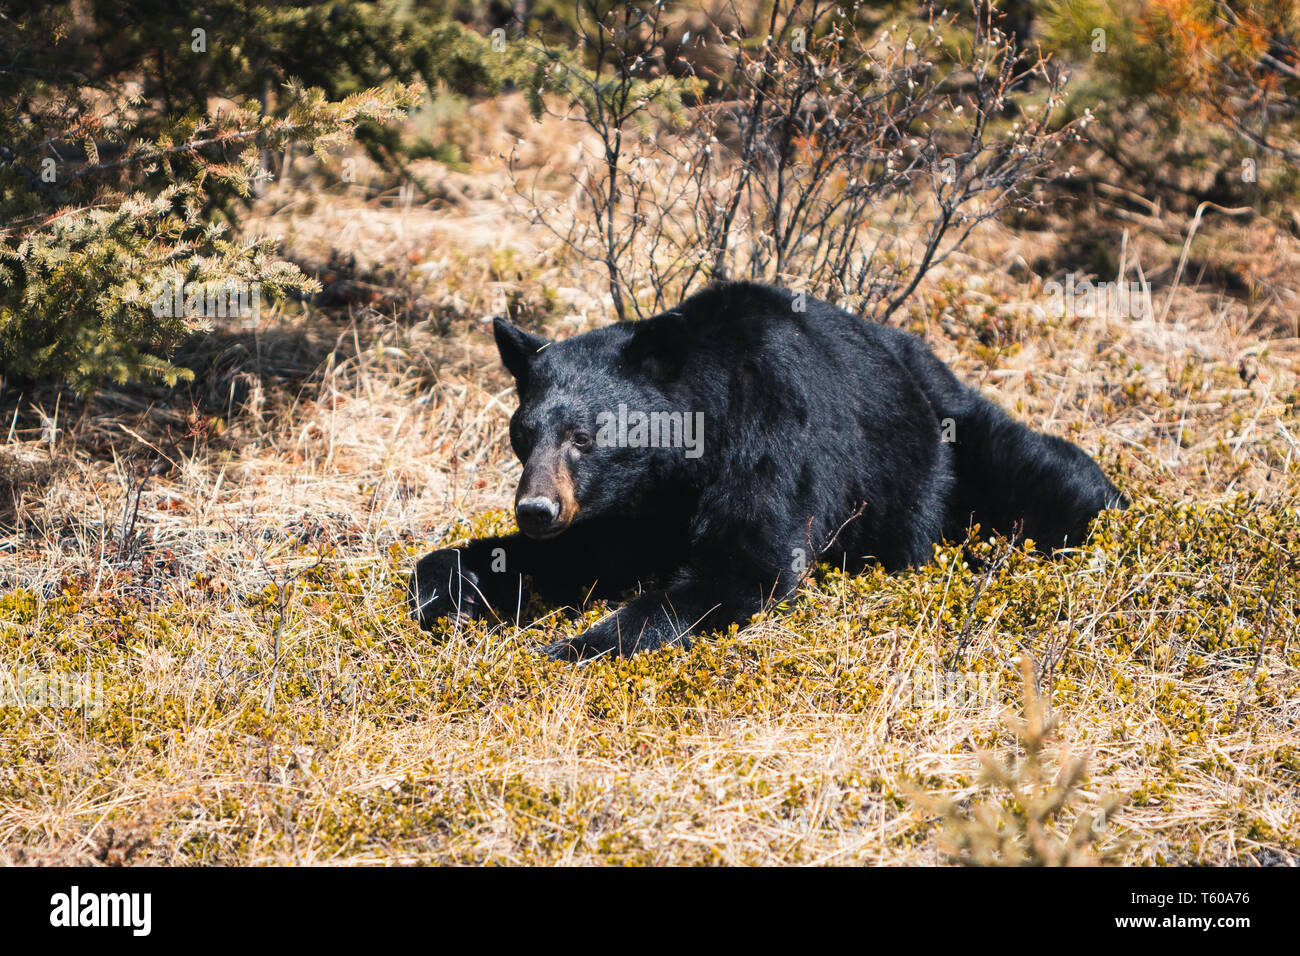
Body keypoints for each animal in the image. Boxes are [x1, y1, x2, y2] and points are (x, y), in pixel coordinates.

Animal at [409, 281, 1125, 660]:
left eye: (583, 436)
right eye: (522, 433)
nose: (537, 510)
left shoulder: (772, 437)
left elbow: (741, 565)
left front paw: (571, 646)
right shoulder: (628, 504)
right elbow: (581, 555)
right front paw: (444, 591)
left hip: (961, 445)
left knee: (1046, 478)